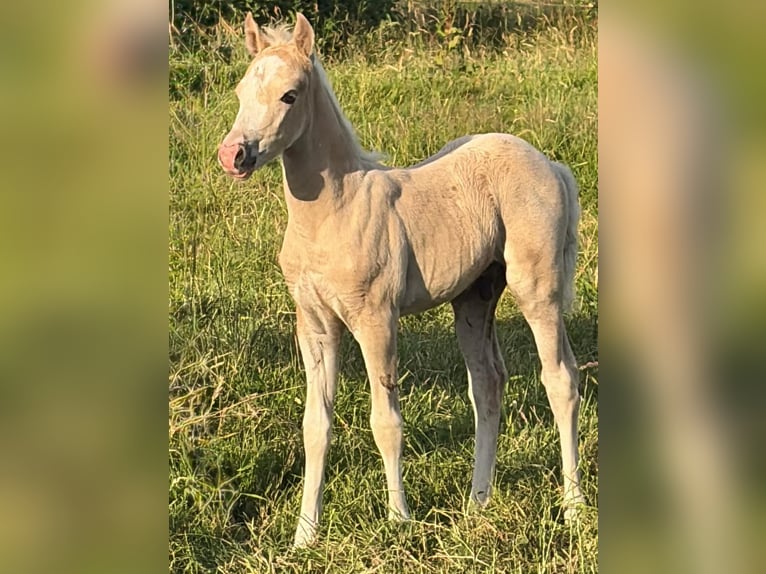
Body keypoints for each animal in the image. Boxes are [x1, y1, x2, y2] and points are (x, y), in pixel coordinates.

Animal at [218, 12, 585, 548]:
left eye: (289, 95)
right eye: (241, 90)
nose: (233, 155)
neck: (332, 213)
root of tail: (550, 164)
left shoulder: (376, 319)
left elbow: (385, 420)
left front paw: (398, 520)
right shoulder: (314, 324)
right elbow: (314, 426)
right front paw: (304, 535)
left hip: (538, 286)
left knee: (561, 379)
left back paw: (574, 506)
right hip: (474, 297)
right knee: (487, 383)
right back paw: (477, 502)